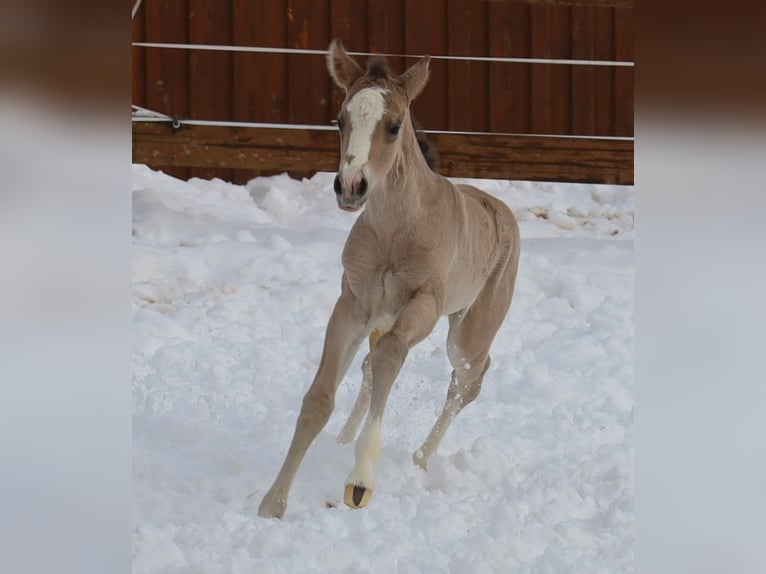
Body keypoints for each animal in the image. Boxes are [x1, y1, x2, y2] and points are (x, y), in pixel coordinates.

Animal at [258, 39, 520, 518]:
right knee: (368, 365)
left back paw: (419, 459)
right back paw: (343, 440)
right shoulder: (353, 305)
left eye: (394, 126)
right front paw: (272, 502)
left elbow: (392, 356)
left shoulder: (425, 305)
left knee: (468, 378)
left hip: (467, 334)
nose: (350, 187)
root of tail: (501, 210)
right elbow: (319, 398)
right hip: (381, 319)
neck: (396, 228)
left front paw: (359, 481)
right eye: (339, 120)